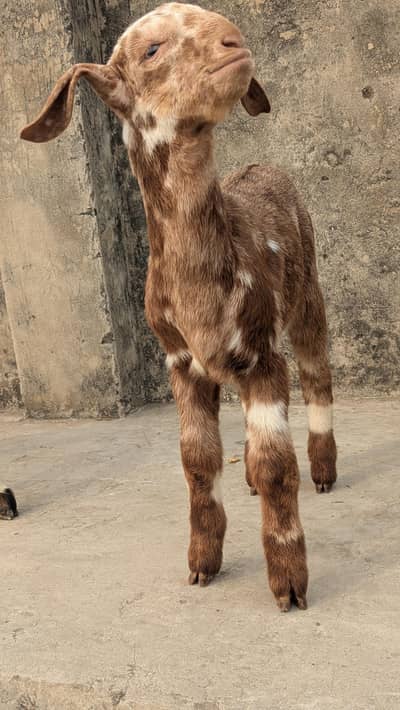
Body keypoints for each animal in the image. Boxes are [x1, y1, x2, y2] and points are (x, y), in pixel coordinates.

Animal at [21, 2, 337, 611]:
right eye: (151, 49)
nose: (235, 42)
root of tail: (264, 166)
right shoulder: (181, 360)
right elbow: (196, 461)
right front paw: (201, 565)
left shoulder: (261, 351)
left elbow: (276, 465)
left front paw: (288, 586)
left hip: (307, 290)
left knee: (316, 375)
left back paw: (325, 471)